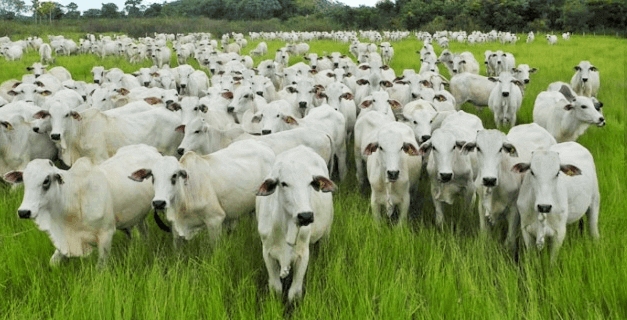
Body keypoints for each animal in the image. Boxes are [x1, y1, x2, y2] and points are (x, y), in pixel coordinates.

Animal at [4, 144, 162, 266]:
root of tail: (151, 149)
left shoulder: (106, 234)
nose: (24, 211)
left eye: (46, 181)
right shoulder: (65, 240)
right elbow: (53, 262)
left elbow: (100, 268)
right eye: (24, 180)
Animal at [130, 139, 274, 242]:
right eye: (152, 176)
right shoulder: (176, 228)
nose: (159, 203)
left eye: (174, 175)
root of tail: (264, 146)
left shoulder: (215, 220)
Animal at [255, 146, 336, 302]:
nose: (306, 216)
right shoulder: (267, 253)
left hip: (327, 230)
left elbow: (294, 293)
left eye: (310, 182)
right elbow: (276, 288)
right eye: (283, 183)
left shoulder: (303, 255)